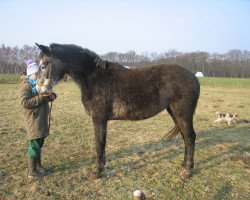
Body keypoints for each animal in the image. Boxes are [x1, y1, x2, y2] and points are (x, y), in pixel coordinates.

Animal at [35, 43, 200, 179]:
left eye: (43, 65)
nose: (40, 90)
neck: (93, 77)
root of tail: (193, 77)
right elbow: (102, 144)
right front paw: (102, 167)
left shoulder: (99, 119)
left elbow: (99, 144)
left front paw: (98, 171)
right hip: (174, 112)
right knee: (185, 137)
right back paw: (184, 165)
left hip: (183, 113)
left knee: (190, 137)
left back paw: (187, 171)